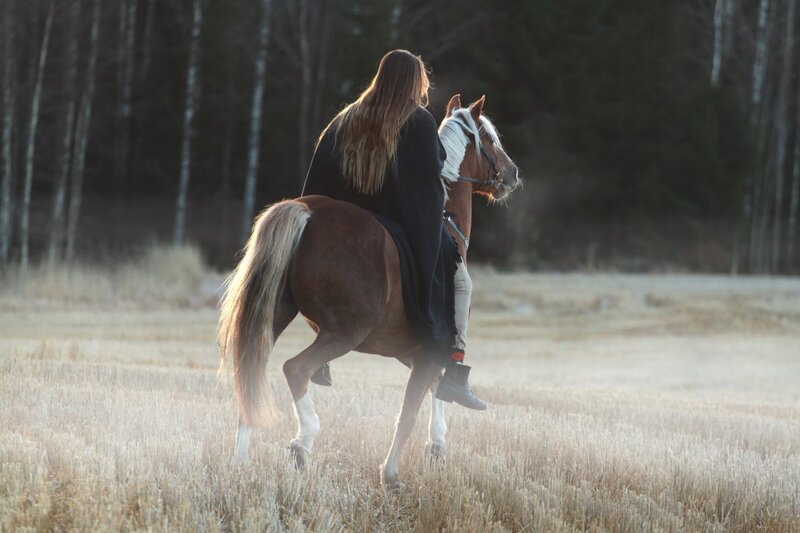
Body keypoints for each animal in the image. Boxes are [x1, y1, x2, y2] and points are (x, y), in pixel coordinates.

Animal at [218, 94, 520, 487]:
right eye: (489, 138)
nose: (513, 173)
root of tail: (308, 210)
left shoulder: (410, 350)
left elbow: (433, 385)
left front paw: (437, 443)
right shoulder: (429, 347)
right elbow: (410, 407)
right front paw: (390, 474)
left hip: (274, 317)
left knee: (250, 375)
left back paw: (241, 461)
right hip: (345, 332)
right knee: (295, 369)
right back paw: (304, 439)